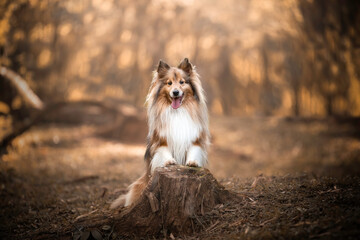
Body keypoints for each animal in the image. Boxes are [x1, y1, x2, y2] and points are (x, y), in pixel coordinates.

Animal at [111, 57, 210, 208]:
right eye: (169, 83)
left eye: (182, 82)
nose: (175, 92)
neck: (177, 112)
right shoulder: (160, 140)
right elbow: (164, 152)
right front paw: (169, 161)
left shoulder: (195, 139)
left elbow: (194, 150)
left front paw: (192, 162)